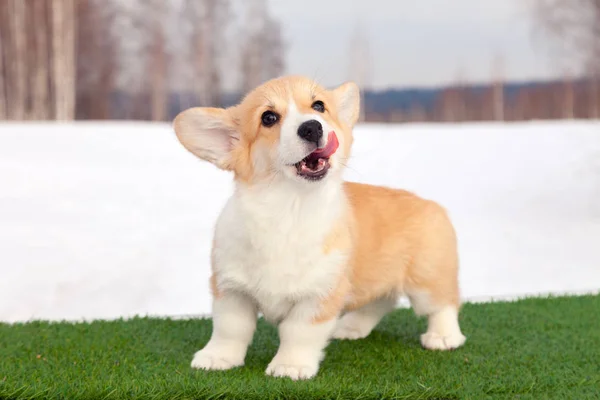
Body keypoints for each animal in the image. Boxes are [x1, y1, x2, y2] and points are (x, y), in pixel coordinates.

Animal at [171, 76, 466, 382]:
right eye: (268, 117)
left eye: (319, 106)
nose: (312, 126)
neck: (289, 209)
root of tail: (430, 203)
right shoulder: (231, 289)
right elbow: (230, 328)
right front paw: (217, 357)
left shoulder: (320, 295)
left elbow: (298, 333)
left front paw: (290, 365)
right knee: (381, 301)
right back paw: (352, 327)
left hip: (427, 279)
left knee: (444, 303)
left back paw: (443, 337)